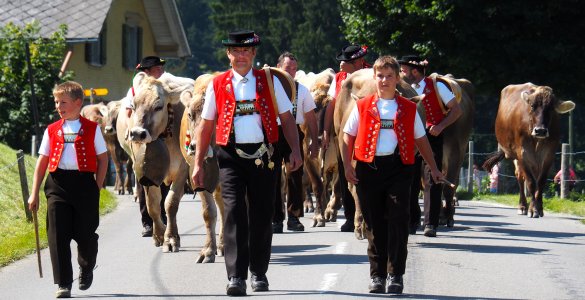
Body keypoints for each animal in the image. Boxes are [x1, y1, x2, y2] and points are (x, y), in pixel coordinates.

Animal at [484, 83, 576, 217]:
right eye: (532, 106)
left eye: (551, 108)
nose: (540, 130)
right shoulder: (522, 153)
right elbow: (531, 182)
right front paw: (533, 209)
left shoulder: (549, 154)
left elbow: (541, 181)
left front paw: (539, 208)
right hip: (516, 156)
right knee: (520, 177)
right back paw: (522, 206)